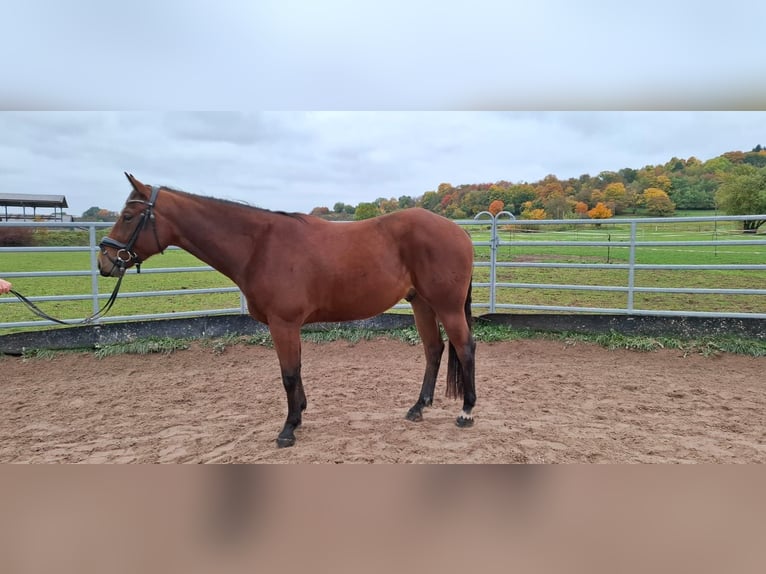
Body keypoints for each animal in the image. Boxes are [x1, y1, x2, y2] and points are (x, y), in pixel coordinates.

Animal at [98, 173, 476, 448]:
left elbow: (289, 374)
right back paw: (418, 408)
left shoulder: (283, 324)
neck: (259, 245)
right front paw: (301, 413)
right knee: (434, 349)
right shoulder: (288, 326)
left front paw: (288, 429)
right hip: (421, 303)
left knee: (465, 348)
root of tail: (460, 233)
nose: (105, 261)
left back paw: (467, 412)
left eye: (129, 216)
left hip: (447, 306)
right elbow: (297, 370)